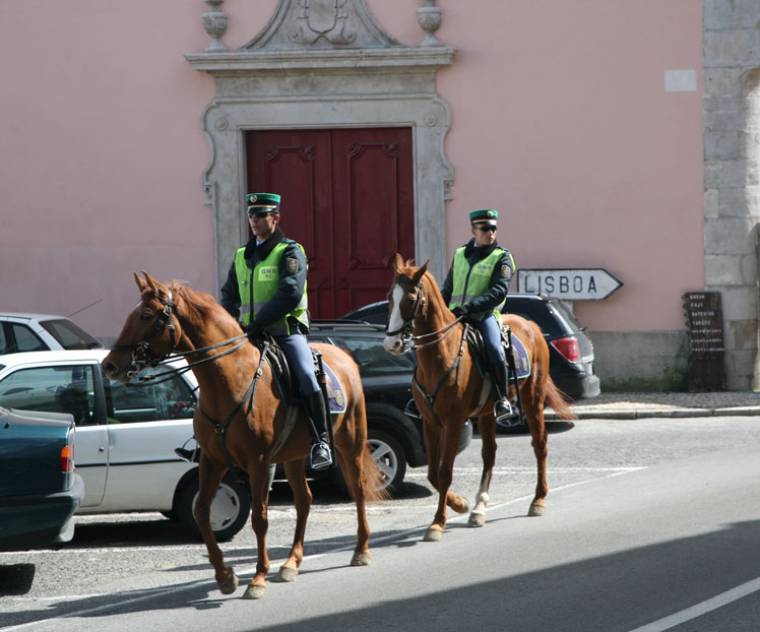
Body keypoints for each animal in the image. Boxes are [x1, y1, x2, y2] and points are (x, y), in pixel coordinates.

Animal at [101, 272, 386, 596]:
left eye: (146, 315)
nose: (109, 366)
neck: (229, 381)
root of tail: (344, 356)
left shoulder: (258, 462)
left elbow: (260, 518)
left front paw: (258, 577)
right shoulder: (213, 461)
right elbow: (201, 511)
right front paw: (225, 575)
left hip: (351, 443)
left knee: (358, 489)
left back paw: (361, 550)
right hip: (294, 456)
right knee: (304, 500)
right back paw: (291, 563)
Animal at [382, 254, 572, 540]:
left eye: (412, 298)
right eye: (390, 297)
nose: (391, 344)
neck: (442, 354)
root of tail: (531, 326)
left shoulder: (453, 421)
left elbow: (445, 472)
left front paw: (437, 523)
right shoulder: (430, 422)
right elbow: (433, 474)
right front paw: (460, 504)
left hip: (532, 399)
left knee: (540, 444)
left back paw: (538, 500)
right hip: (487, 412)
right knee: (489, 453)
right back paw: (479, 508)